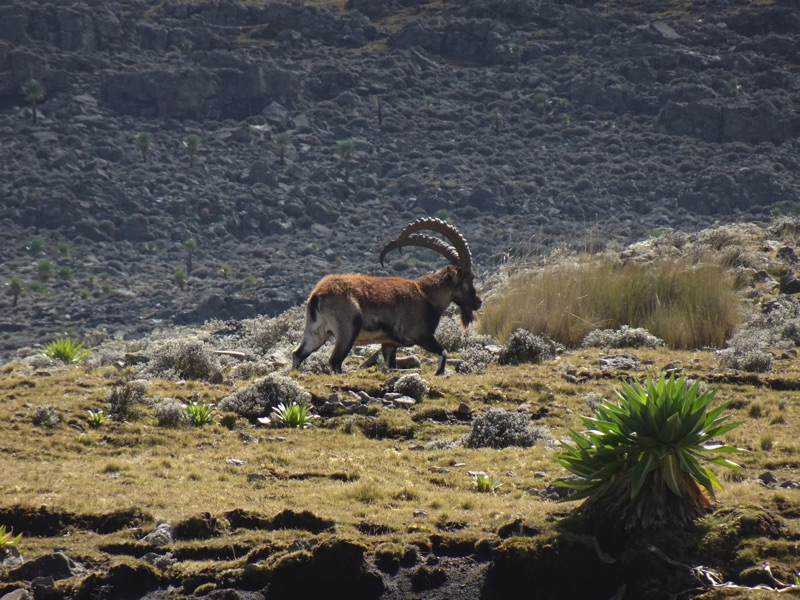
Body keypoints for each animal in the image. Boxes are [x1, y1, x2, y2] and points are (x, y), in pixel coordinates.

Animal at [292, 218, 481, 375]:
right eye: (468, 279)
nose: (478, 302)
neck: (427, 295)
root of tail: (318, 295)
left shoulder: (390, 344)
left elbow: (390, 364)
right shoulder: (421, 335)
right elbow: (443, 352)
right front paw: (439, 373)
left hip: (316, 331)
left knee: (298, 354)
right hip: (348, 330)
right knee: (335, 361)